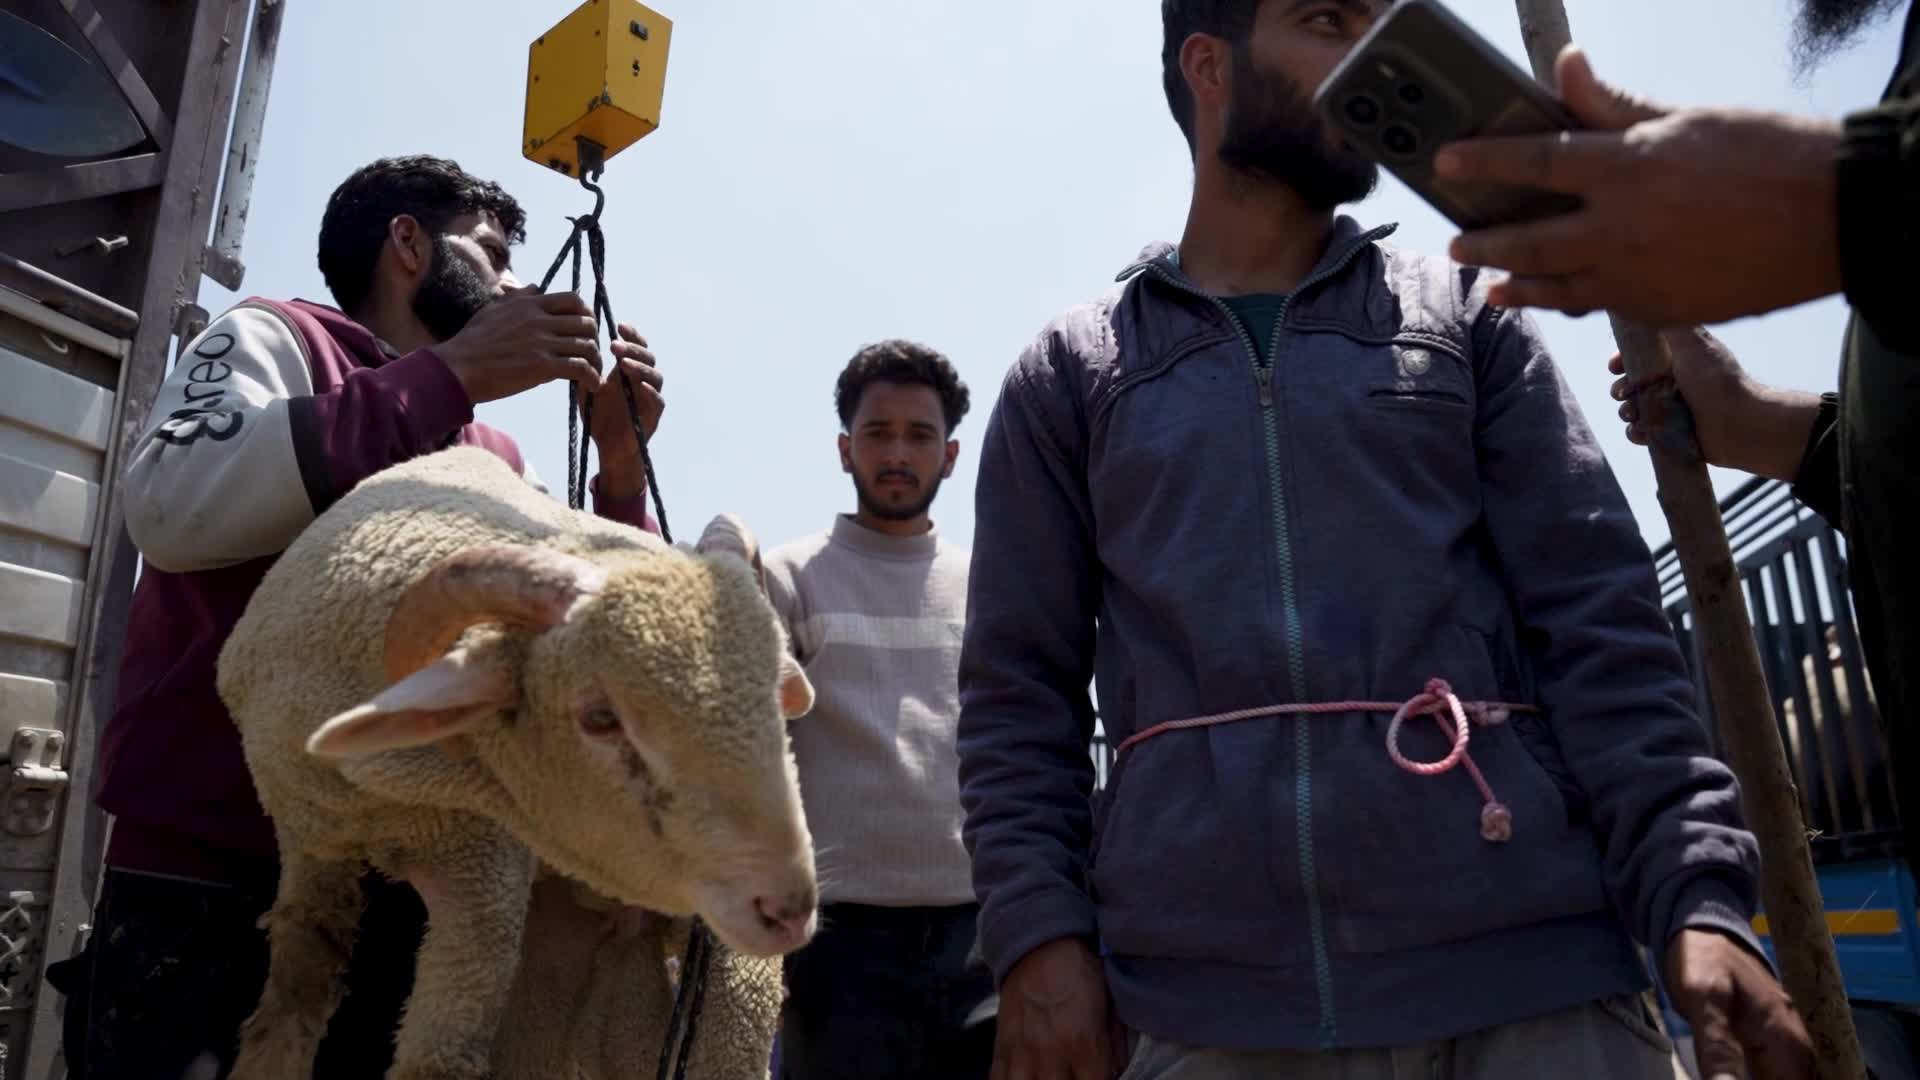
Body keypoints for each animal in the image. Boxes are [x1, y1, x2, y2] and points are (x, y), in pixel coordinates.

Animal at [215, 445, 818, 1080]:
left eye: (773, 707)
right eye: (600, 718)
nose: (789, 907)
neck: (375, 792)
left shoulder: (483, 868)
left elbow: (438, 1059)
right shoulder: (310, 841)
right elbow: (292, 1001)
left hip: (721, 981)